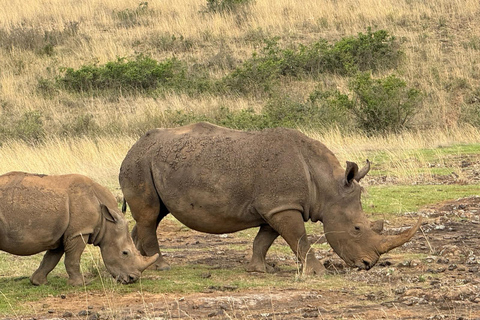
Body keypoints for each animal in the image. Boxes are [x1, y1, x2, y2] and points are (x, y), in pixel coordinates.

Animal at [0, 171, 158, 286]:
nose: (132, 279)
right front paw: (81, 284)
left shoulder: (64, 233)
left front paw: (38, 282)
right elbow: (73, 258)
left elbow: (51, 259)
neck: (107, 220)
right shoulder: (80, 231)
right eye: (125, 253)